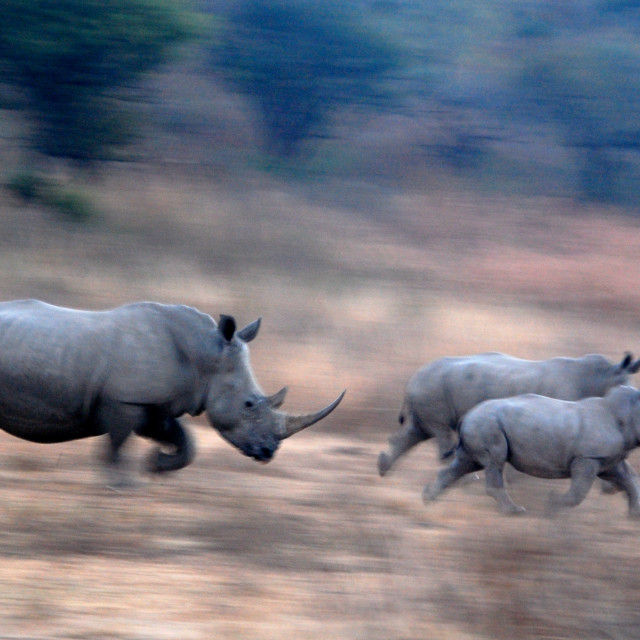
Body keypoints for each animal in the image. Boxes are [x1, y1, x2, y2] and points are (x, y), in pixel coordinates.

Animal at [424, 384, 640, 516]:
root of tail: (467, 415)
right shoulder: (588, 457)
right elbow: (578, 492)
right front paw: (551, 507)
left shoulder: (609, 458)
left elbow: (630, 479)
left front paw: (634, 516)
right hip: (486, 424)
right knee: (494, 459)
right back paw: (515, 511)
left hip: (480, 424)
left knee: (467, 463)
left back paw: (429, 501)